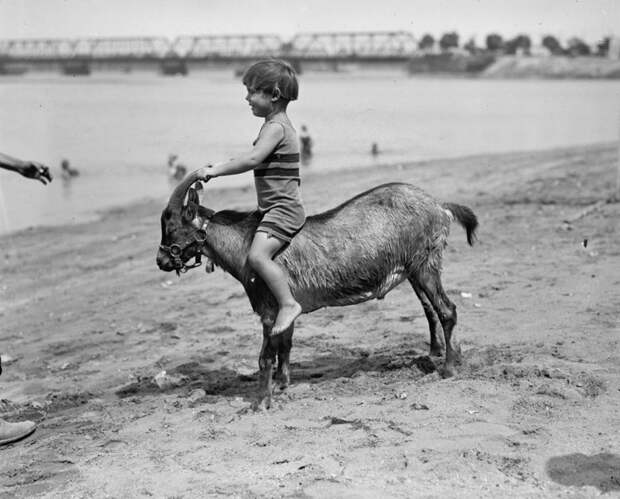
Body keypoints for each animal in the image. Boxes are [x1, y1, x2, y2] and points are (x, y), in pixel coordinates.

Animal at [157, 172, 478, 410]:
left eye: (171, 228)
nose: (161, 261)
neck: (246, 244)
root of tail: (440, 206)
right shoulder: (286, 308)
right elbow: (285, 344)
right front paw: (282, 384)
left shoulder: (269, 310)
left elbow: (265, 356)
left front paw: (261, 403)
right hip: (416, 270)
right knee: (432, 309)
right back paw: (447, 355)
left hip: (425, 264)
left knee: (447, 310)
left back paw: (449, 369)